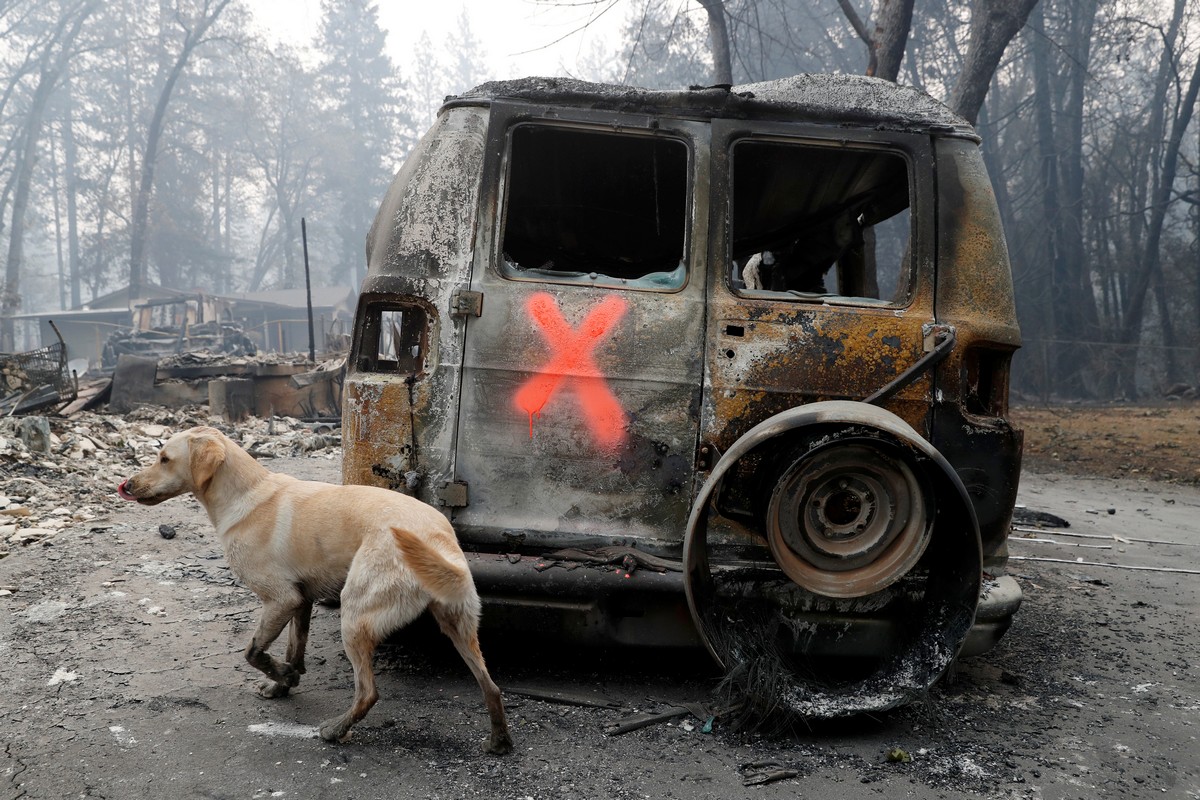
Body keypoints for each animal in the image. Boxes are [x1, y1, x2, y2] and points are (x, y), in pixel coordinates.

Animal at [119, 422, 513, 753]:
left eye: (164, 458)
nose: (127, 485)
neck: (244, 495)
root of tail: (437, 540)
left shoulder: (280, 599)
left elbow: (253, 652)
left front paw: (283, 676)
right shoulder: (301, 600)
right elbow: (294, 649)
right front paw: (283, 685)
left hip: (354, 617)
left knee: (368, 693)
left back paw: (336, 730)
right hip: (458, 626)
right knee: (492, 688)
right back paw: (499, 742)